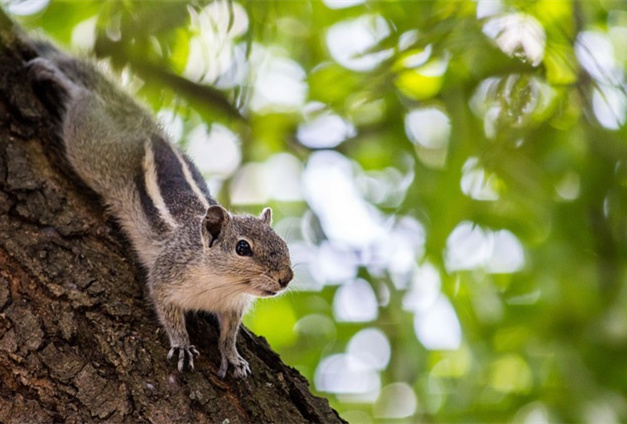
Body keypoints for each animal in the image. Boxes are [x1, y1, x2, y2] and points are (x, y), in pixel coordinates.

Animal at [25, 44, 296, 380]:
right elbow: (168, 312)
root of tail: (145, 130)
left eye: (284, 245)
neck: (220, 283)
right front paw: (181, 345)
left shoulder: (233, 307)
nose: (286, 277)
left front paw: (233, 356)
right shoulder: (166, 277)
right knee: (84, 103)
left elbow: (229, 333)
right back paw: (57, 76)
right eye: (242, 248)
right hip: (92, 146)